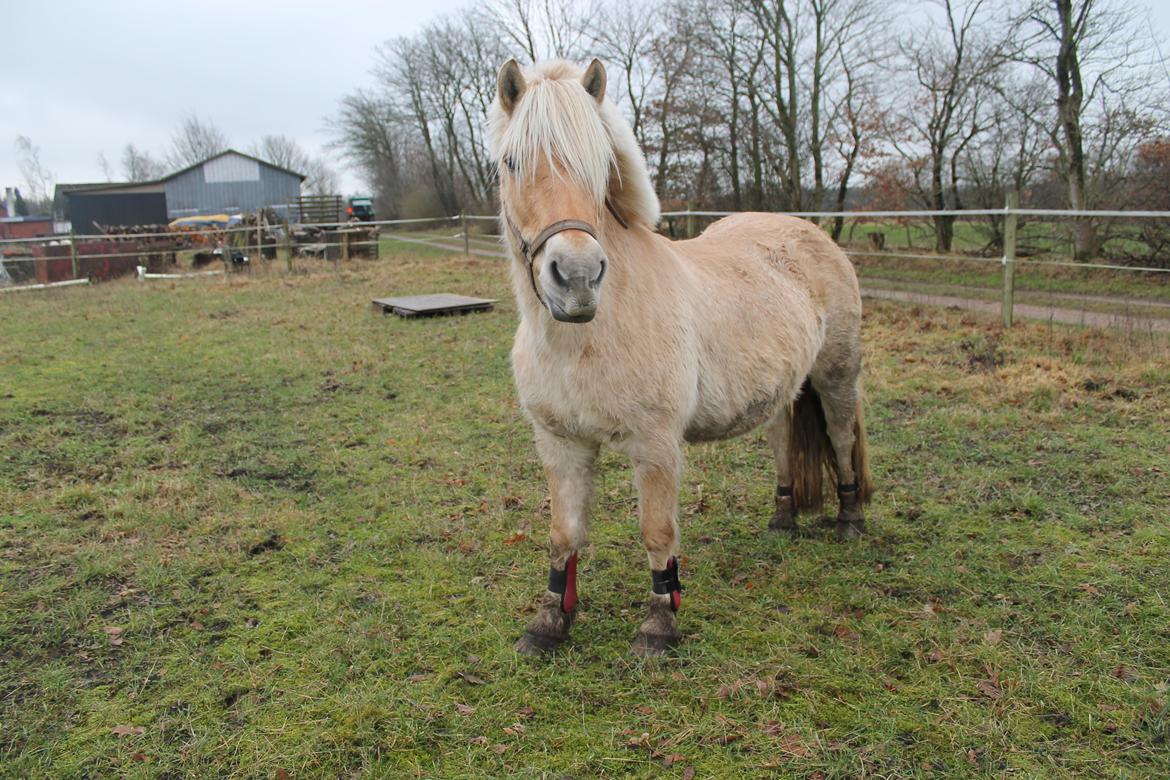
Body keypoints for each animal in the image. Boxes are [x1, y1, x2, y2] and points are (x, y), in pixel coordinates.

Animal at [489, 56, 875, 659]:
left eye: (600, 163)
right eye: (512, 162)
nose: (576, 277)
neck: (589, 337)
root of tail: (808, 231)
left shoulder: (655, 446)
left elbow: (657, 533)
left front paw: (658, 626)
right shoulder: (560, 443)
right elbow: (563, 535)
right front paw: (549, 623)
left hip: (836, 376)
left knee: (839, 438)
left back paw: (850, 521)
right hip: (782, 391)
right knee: (784, 443)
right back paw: (783, 518)